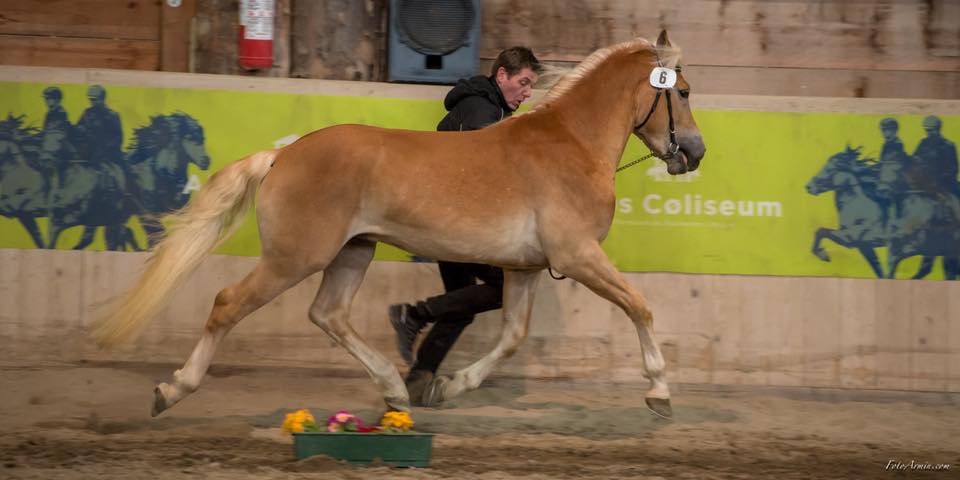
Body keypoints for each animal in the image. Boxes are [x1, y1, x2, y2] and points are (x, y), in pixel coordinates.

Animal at [71, 113, 211, 250]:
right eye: (190, 137)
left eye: (203, 138)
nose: (206, 161)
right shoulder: (147, 212)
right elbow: (157, 234)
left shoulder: (181, 209)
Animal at [91, 32, 705, 420]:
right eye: (682, 92)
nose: (694, 153)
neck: (570, 145)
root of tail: (284, 154)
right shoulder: (576, 256)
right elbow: (640, 307)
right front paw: (660, 392)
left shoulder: (528, 267)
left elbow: (511, 336)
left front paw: (452, 385)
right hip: (295, 257)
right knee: (227, 304)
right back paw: (171, 390)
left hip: (352, 252)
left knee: (328, 314)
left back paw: (394, 388)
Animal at [805, 147, 888, 278]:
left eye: (830, 169)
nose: (809, 186)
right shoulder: (865, 247)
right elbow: (879, 269)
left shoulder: (851, 238)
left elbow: (821, 231)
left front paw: (823, 255)